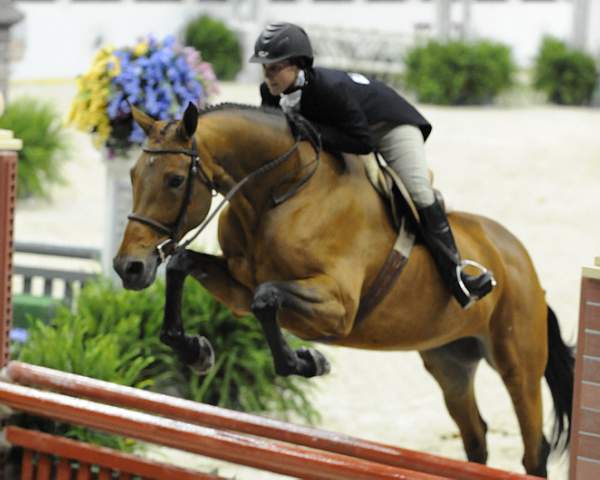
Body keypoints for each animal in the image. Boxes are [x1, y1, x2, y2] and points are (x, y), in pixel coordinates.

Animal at [113, 102, 576, 476]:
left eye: (175, 180)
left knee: (533, 449)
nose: (128, 267)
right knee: (476, 436)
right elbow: (184, 266)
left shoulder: (337, 306)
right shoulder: (239, 289)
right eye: (132, 175)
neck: (278, 195)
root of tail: (520, 259)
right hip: (451, 364)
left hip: (517, 365)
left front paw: (309, 361)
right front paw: (196, 351)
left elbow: (267, 298)